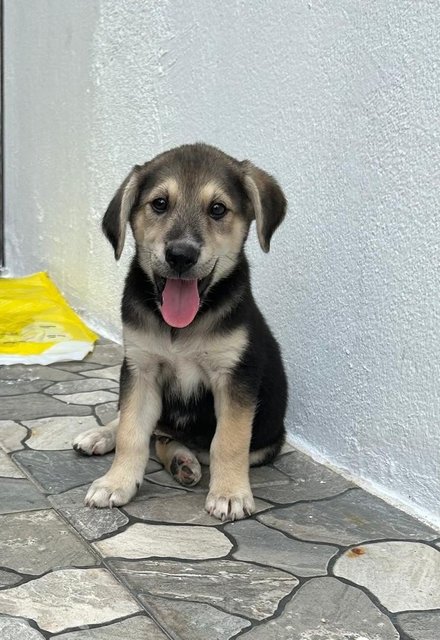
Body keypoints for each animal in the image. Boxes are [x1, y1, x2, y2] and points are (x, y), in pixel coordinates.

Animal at [74, 144, 288, 520]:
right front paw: (117, 482)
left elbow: (228, 441)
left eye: (218, 209)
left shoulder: (235, 376)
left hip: (269, 438)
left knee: (176, 440)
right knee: (144, 428)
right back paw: (103, 436)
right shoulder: (140, 369)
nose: (181, 255)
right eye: (160, 203)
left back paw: (183, 461)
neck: (181, 327)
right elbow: (131, 432)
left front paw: (230, 493)